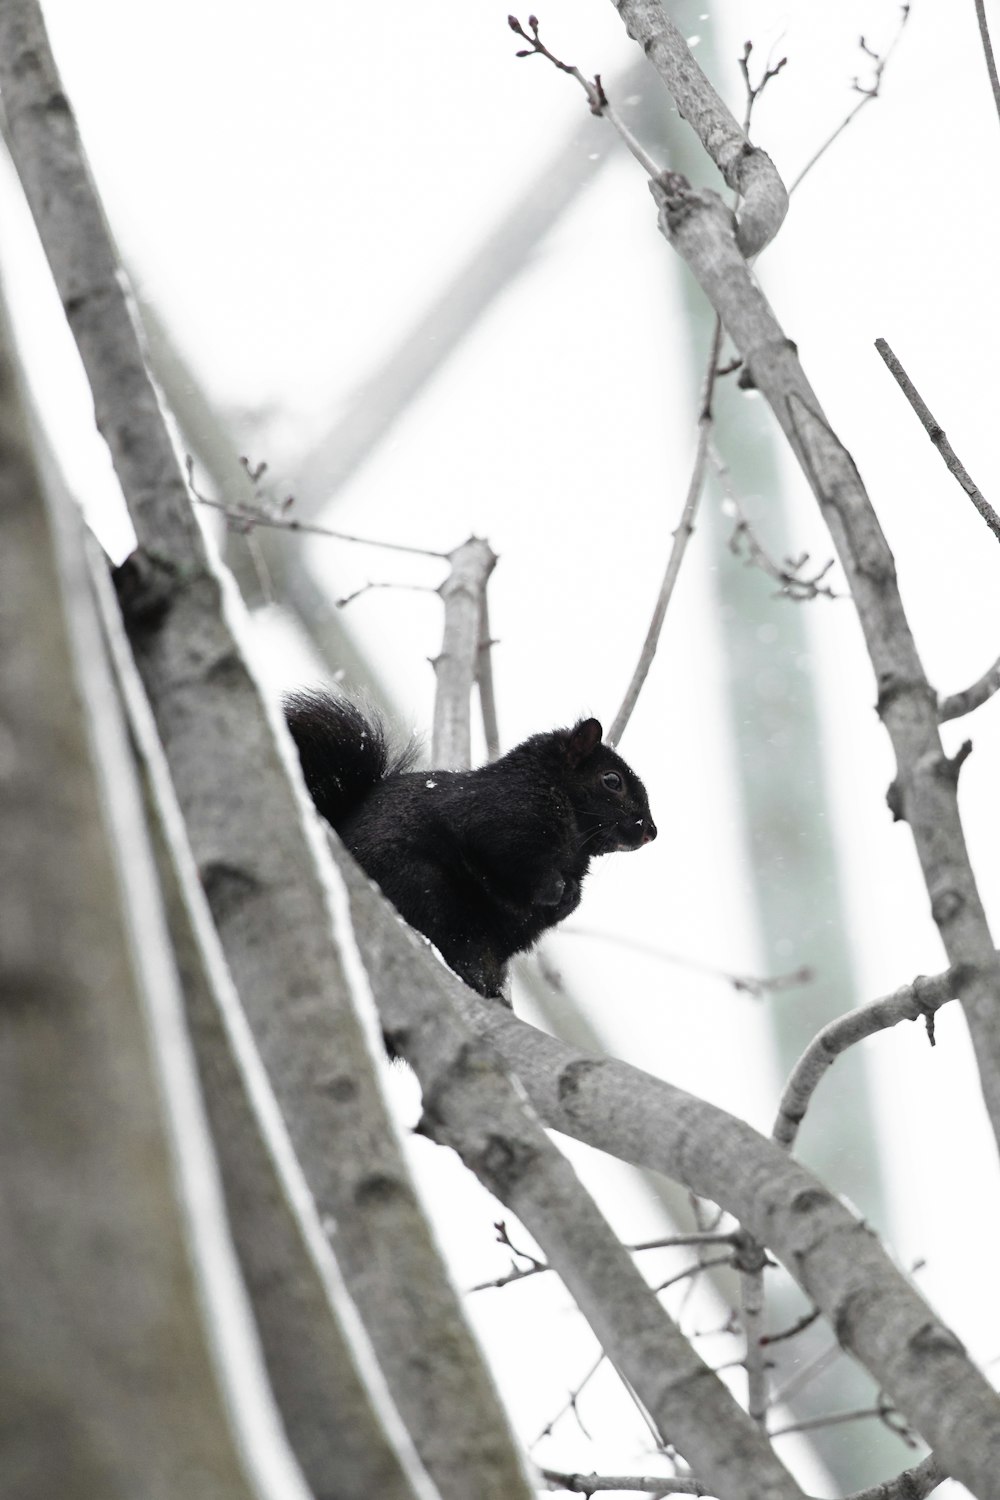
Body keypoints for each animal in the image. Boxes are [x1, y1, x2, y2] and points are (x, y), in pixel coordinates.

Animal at [283, 687, 656, 996]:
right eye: (612, 780)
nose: (650, 831)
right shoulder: (499, 819)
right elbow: (511, 860)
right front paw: (555, 888)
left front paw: (571, 896)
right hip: (421, 887)